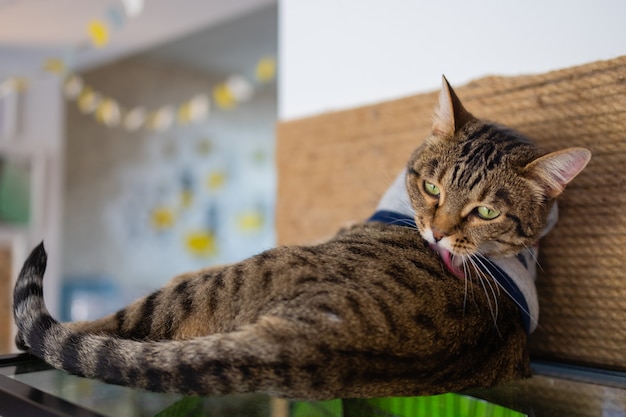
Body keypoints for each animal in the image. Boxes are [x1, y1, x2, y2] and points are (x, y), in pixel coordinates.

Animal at [14, 76, 588, 398]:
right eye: (431, 186)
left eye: (486, 211)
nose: (438, 232)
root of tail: (310, 342)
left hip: (207, 284)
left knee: (113, 323)